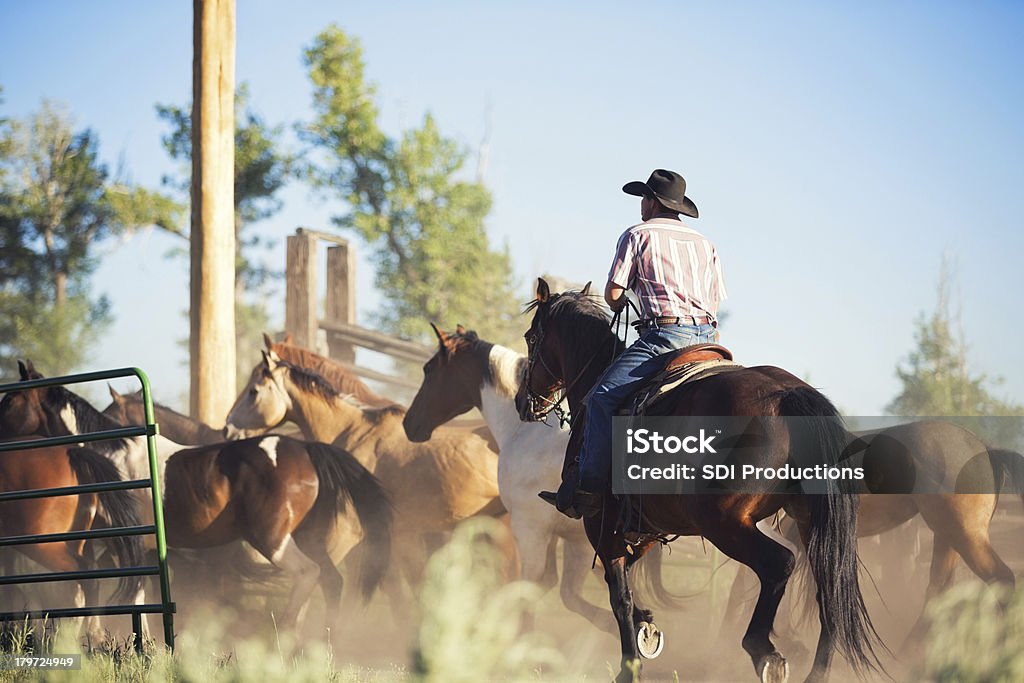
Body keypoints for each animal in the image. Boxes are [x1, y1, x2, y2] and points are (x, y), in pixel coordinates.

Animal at [516, 278, 884, 683]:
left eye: (531, 337)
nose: (523, 402)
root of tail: (789, 395)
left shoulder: (601, 524)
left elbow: (619, 597)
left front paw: (630, 667)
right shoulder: (644, 527)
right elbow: (628, 587)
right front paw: (647, 626)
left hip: (723, 522)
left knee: (779, 564)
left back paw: (764, 650)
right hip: (807, 522)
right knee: (830, 590)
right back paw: (814, 672)